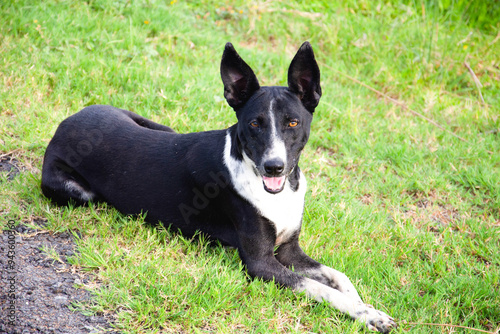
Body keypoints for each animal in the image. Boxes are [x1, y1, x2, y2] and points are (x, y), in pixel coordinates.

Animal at [41, 41, 396, 332]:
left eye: (292, 123)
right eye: (254, 124)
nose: (274, 166)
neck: (278, 191)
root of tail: (66, 122)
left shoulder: (290, 250)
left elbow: (338, 277)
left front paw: (367, 308)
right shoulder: (261, 263)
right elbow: (320, 288)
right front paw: (364, 313)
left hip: (156, 124)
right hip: (77, 191)